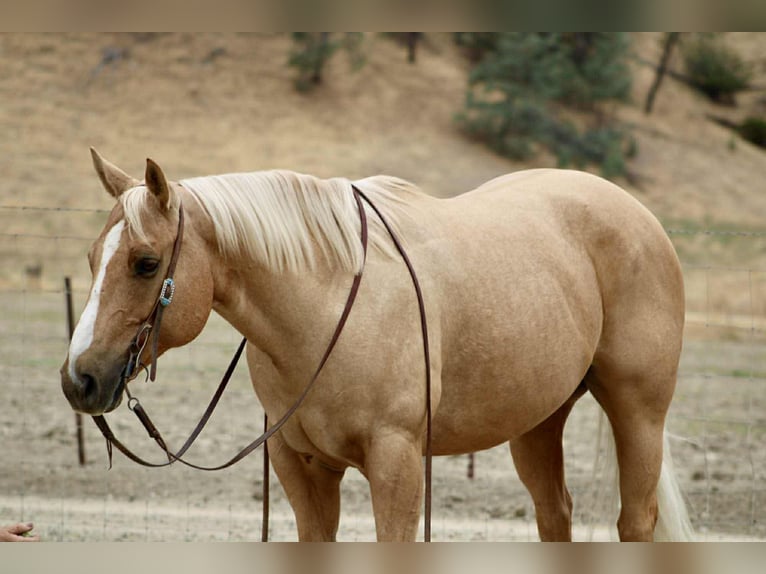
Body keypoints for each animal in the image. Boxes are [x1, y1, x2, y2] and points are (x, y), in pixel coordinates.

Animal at [60, 149, 693, 541]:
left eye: (145, 263)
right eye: (91, 257)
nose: (79, 379)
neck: (326, 303)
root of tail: (638, 215)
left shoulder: (397, 463)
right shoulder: (301, 467)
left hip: (638, 412)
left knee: (635, 521)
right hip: (537, 422)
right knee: (554, 514)